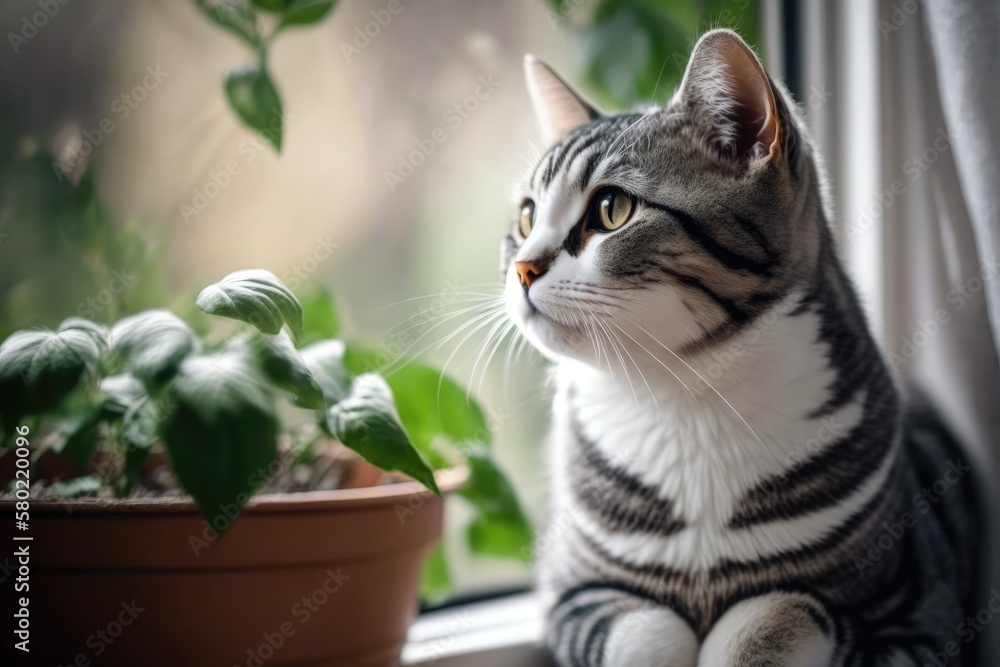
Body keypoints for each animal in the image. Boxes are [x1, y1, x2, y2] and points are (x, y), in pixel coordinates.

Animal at [504, 30, 988, 667]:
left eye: (612, 210)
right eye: (526, 215)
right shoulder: (573, 595)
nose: (522, 267)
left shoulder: (917, 614)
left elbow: (776, 614)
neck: (686, 400)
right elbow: (645, 634)